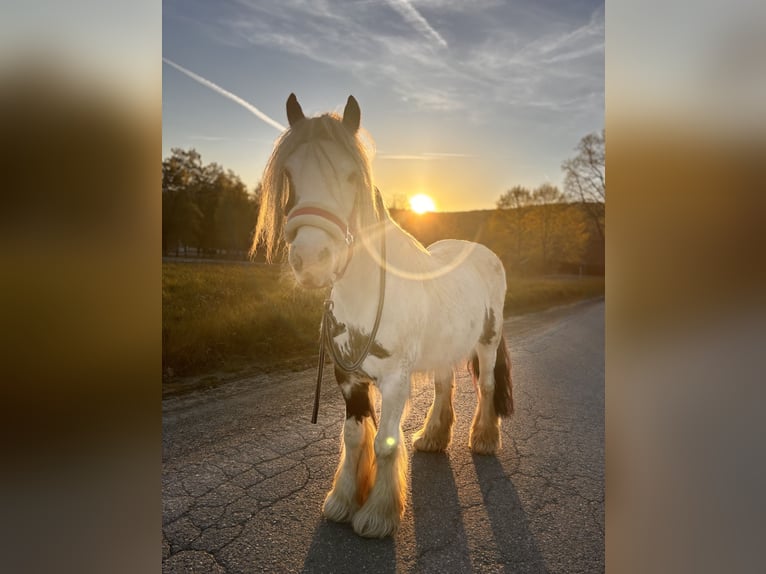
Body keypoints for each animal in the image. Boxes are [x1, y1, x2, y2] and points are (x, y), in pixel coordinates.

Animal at [252, 94, 513, 538]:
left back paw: (483, 438)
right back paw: (433, 436)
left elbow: (385, 443)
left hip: (487, 343)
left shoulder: (393, 381)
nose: (313, 259)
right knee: (444, 387)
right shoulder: (347, 378)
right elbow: (355, 438)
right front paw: (342, 501)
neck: (367, 295)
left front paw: (378, 514)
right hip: (444, 349)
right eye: (289, 173)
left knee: (487, 386)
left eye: (350, 175)